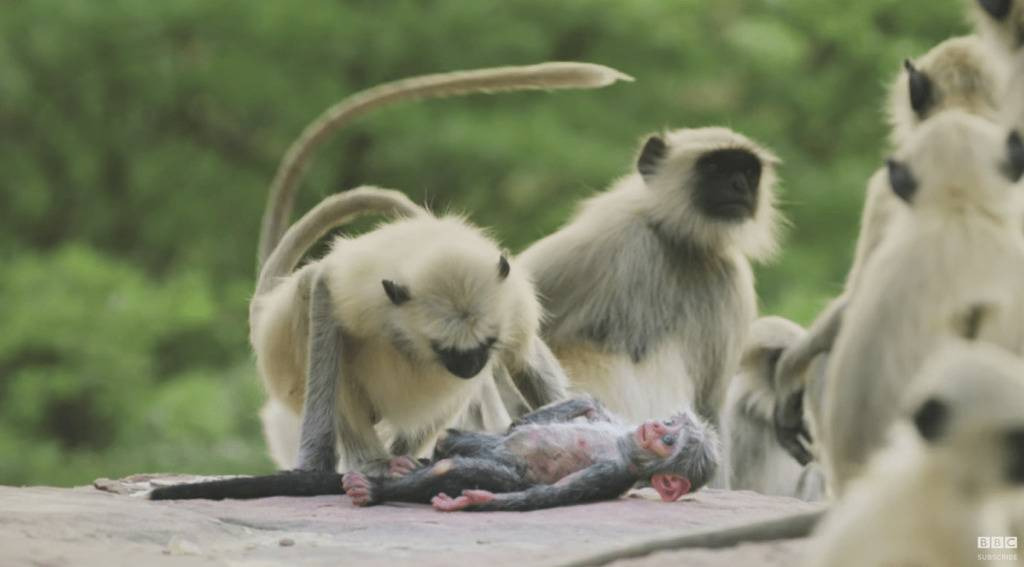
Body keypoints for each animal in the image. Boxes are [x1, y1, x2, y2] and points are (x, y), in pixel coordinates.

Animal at [339, 395, 716, 509]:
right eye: (668, 424)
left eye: (670, 442)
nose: (653, 428)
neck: (624, 445)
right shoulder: (612, 423)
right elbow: (590, 405)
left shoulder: (610, 473)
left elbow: (547, 495)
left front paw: (474, 501)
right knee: (449, 440)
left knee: (452, 468)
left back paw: (372, 489)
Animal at [516, 126, 778, 427]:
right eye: (714, 167)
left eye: (748, 172)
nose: (739, 186)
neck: (679, 244)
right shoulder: (611, 235)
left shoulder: (732, 280)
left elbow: (708, 407)